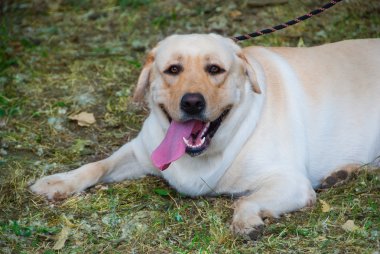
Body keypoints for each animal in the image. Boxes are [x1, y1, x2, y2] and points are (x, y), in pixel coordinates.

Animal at [30, 33, 380, 236]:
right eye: (172, 70)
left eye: (215, 69)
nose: (192, 102)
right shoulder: (142, 150)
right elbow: (97, 165)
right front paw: (58, 182)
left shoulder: (291, 180)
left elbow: (245, 200)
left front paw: (247, 219)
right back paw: (343, 173)